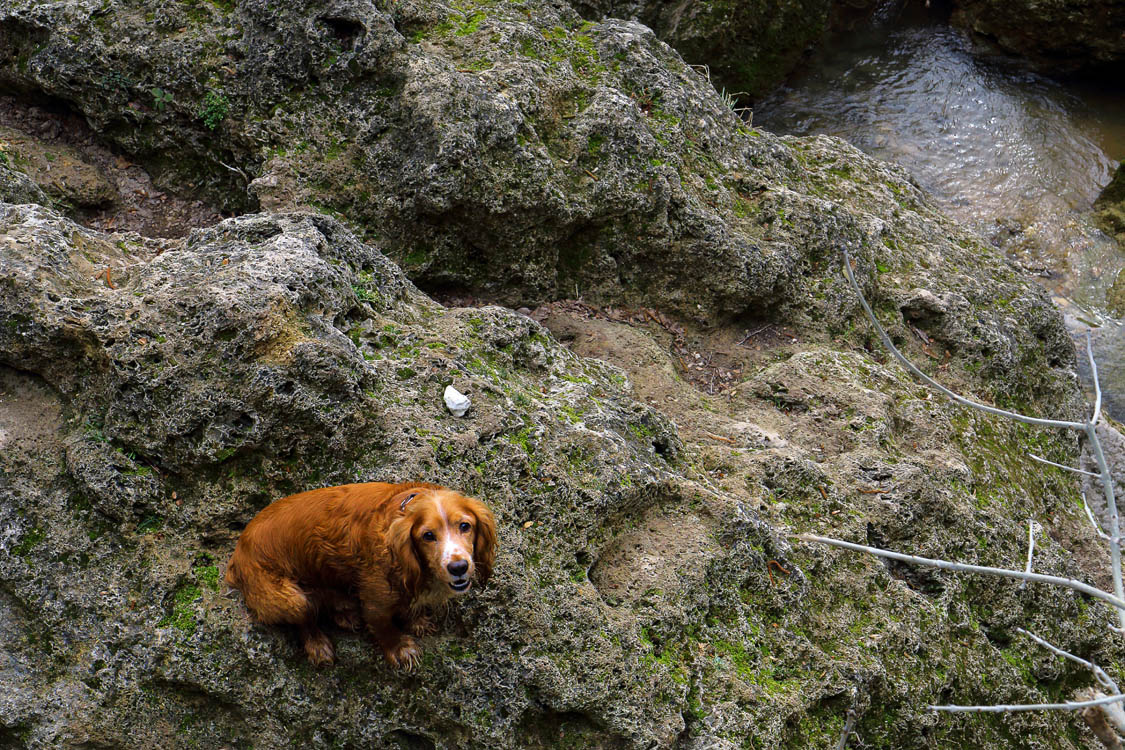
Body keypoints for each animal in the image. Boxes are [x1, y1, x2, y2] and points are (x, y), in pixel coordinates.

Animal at [223, 483, 497, 670]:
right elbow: (383, 625)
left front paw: (417, 620)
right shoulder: (375, 600)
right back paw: (319, 645)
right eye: (427, 536)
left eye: (465, 526)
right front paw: (401, 649)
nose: (459, 567)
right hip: (289, 597)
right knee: (305, 618)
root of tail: (237, 552)